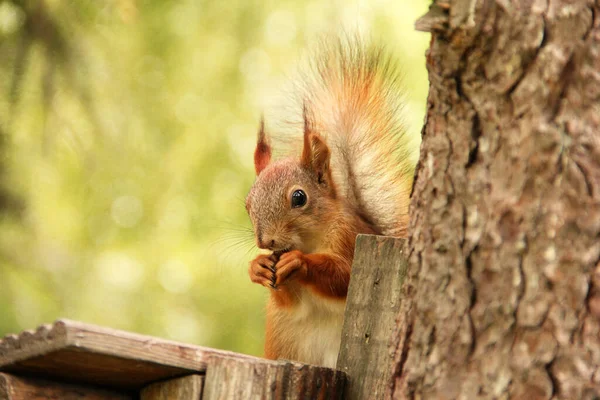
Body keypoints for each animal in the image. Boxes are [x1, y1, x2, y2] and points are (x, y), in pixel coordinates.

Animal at [244, 38, 412, 368]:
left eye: (299, 197)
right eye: (247, 203)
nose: (266, 241)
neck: (308, 240)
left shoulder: (349, 236)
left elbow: (343, 278)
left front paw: (300, 262)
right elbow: (287, 301)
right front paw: (257, 267)